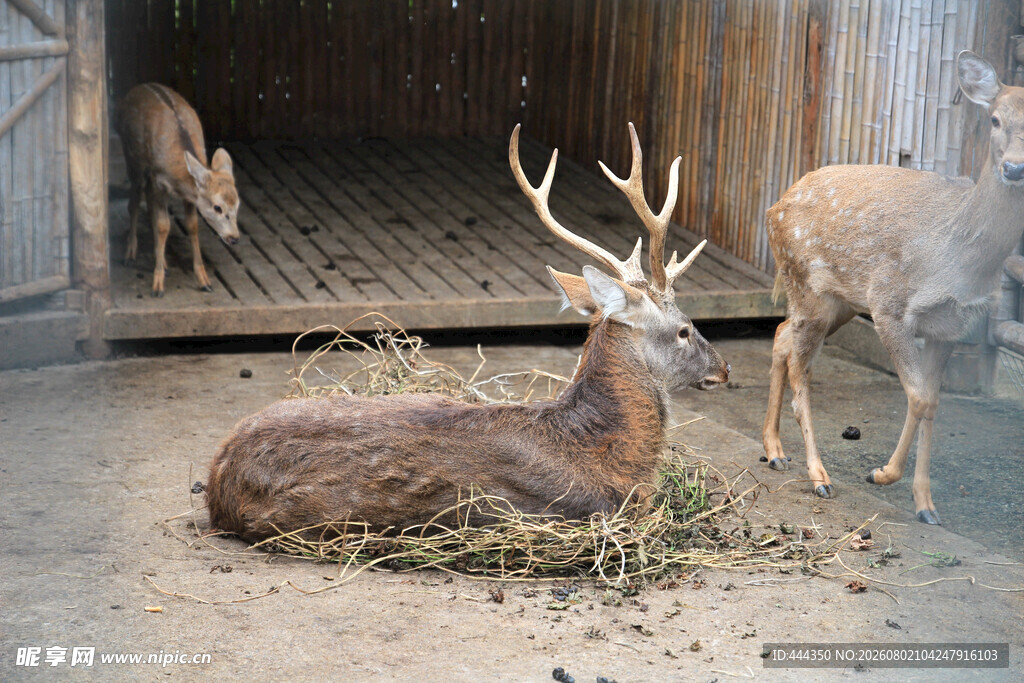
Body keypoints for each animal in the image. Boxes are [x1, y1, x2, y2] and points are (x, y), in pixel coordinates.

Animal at [115, 83, 240, 296]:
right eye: (217, 207)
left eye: (238, 205)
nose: (234, 238)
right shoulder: (158, 181)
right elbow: (163, 224)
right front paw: (157, 285)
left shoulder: (189, 196)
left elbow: (192, 225)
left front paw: (204, 281)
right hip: (133, 160)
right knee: (133, 203)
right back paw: (130, 254)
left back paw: (162, 261)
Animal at [762, 51, 1024, 525]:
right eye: (995, 118)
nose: (1014, 168)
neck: (959, 255)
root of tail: (775, 206)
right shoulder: (890, 304)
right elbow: (917, 397)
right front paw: (881, 474)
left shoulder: (952, 325)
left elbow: (932, 401)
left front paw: (926, 505)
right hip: (808, 285)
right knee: (800, 367)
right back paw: (818, 474)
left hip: (838, 302)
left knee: (780, 336)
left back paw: (774, 451)